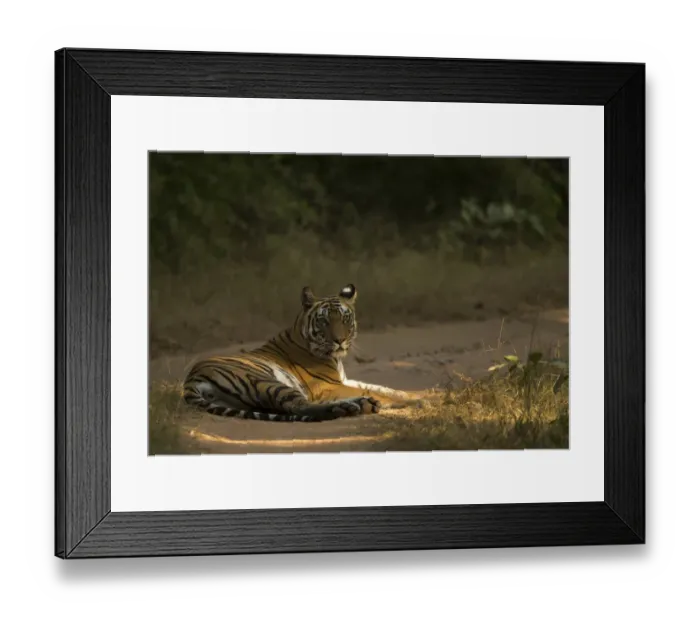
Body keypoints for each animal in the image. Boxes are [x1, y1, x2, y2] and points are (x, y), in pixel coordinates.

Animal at [182, 284, 434, 422]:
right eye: (324, 320)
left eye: (345, 318)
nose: (340, 340)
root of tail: (190, 380)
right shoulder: (327, 386)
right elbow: (378, 392)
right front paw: (419, 402)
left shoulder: (344, 380)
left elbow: (383, 388)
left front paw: (418, 395)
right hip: (263, 380)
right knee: (299, 406)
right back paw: (352, 406)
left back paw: (353, 405)